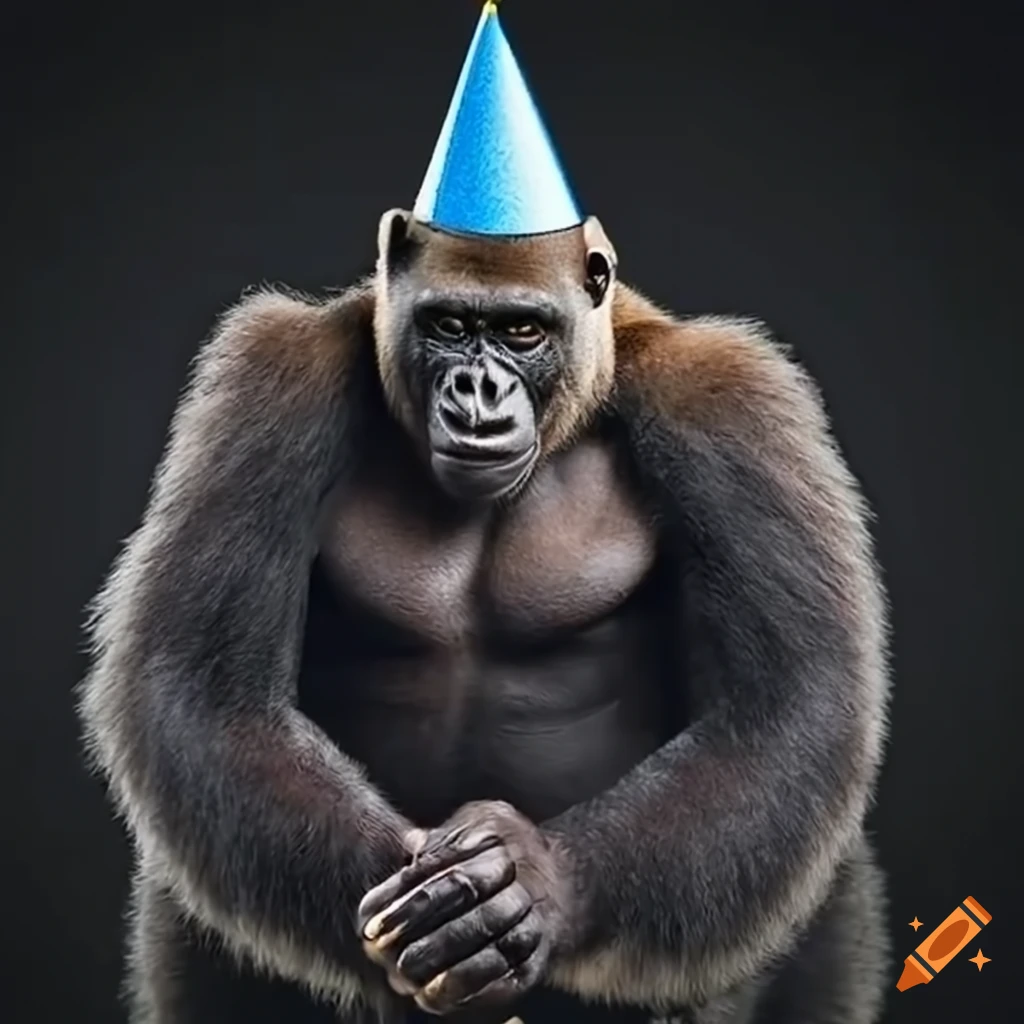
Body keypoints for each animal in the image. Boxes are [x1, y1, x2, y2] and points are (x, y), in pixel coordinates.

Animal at [78, 209, 890, 1024]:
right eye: (449, 325)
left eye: (521, 332)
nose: (477, 390)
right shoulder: (275, 378)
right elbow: (204, 688)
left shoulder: (723, 401)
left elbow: (785, 701)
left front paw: (540, 884)